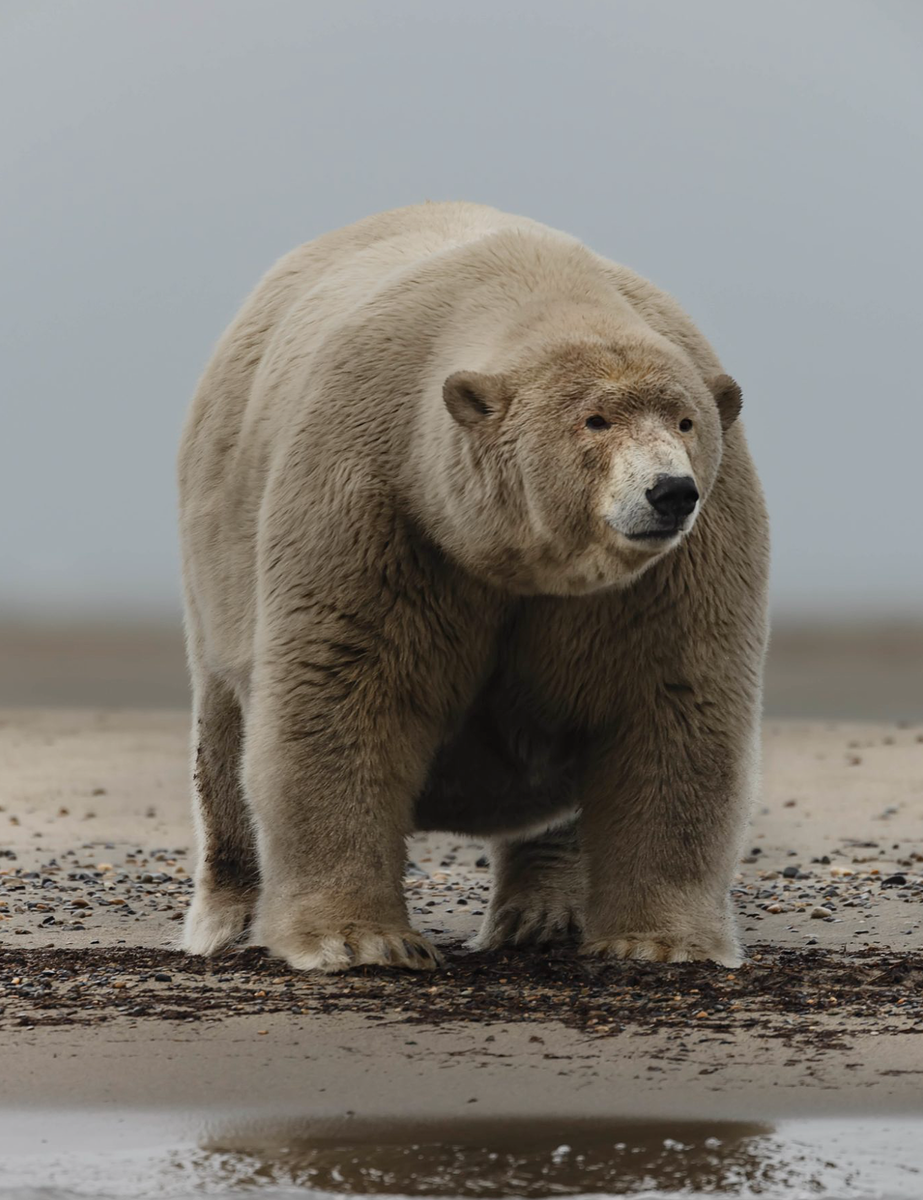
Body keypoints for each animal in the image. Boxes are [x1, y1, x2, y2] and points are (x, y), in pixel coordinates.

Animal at [180, 204, 768, 974]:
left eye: (685, 420)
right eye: (595, 419)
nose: (670, 491)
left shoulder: (675, 567)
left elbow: (672, 705)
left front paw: (659, 941)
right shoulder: (379, 500)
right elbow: (345, 691)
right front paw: (357, 939)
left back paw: (542, 913)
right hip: (217, 550)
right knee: (224, 728)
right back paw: (223, 918)